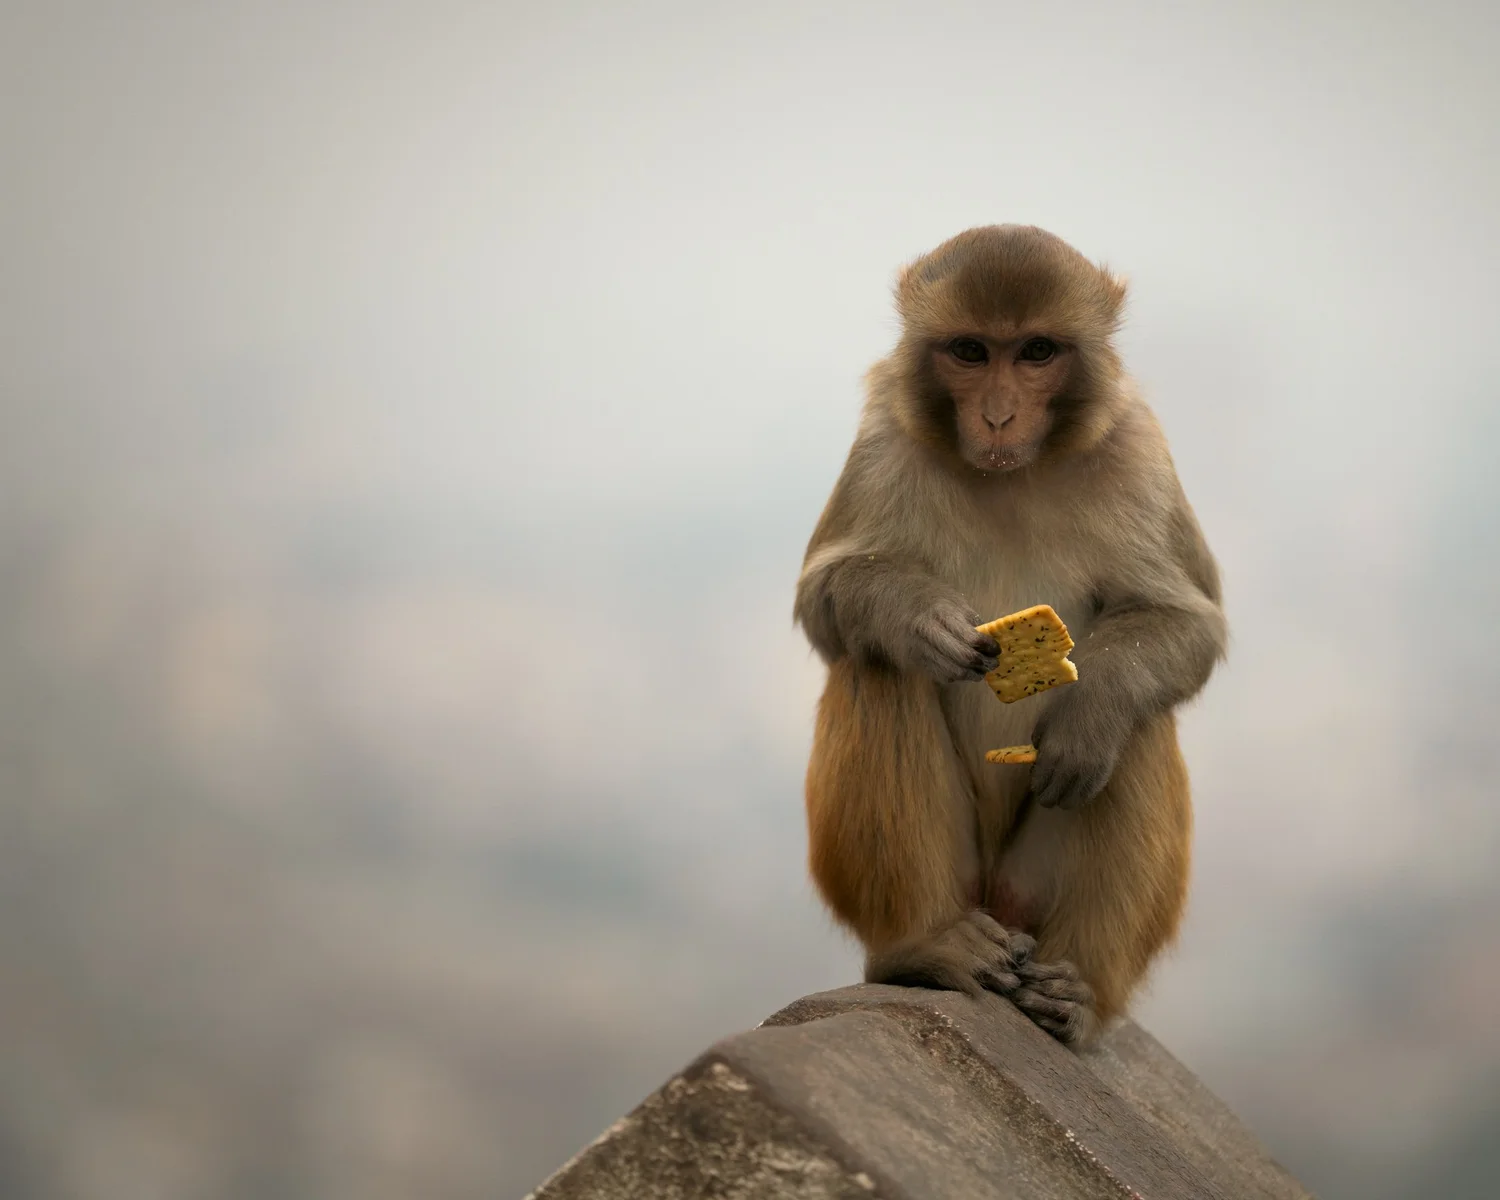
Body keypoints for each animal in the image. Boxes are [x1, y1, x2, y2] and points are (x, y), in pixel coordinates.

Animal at [794, 225, 1226, 1045]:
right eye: (970, 351)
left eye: (1036, 352)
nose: (997, 417)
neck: (1013, 473)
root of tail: (994, 899)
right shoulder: (883, 439)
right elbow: (823, 600)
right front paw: (916, 618)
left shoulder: (1137, 450)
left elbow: (1187, 621)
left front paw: (1090, 715)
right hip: (961, 879)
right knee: (877, 667)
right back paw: (925, 944)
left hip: (1033, 888)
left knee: (1140, 724)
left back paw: (1077, 992)